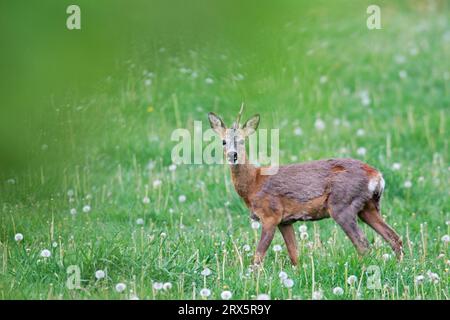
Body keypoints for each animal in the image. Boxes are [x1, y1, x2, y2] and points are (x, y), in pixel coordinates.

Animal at [208, 105, 404, 264]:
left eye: (242, 141)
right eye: (223, 141)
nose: (232, 155)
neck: (254, 183)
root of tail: (377, 176)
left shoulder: (270, 215)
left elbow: (257, 257)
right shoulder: (285, 221)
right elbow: (295, 256)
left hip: (342, 205)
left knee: (363, 245)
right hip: (368, 207)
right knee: (394, 237)